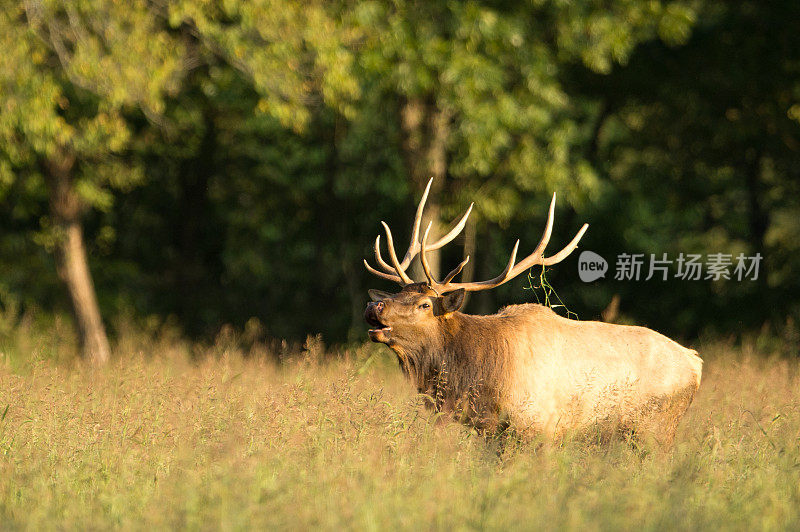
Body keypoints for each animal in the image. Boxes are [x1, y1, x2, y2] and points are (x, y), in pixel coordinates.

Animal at [366, 181, 704, 446]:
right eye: (396, 294)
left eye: (424, 305)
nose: (374, 306)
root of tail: (695, 363)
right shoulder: (494, 433)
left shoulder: (537, 425)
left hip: (657, 427)